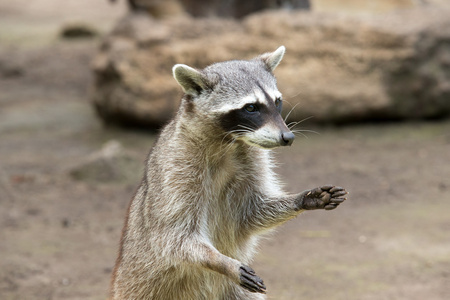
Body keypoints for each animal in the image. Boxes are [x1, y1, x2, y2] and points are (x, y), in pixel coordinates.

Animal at [110, 45, 348, 298]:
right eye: (251, 107)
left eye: (277, 101)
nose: (288, 137)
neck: (229, 141)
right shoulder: (176, 167)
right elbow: (174, 236)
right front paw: (221, 261)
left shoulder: (251, 159)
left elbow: (253, 210)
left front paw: (302, 198)